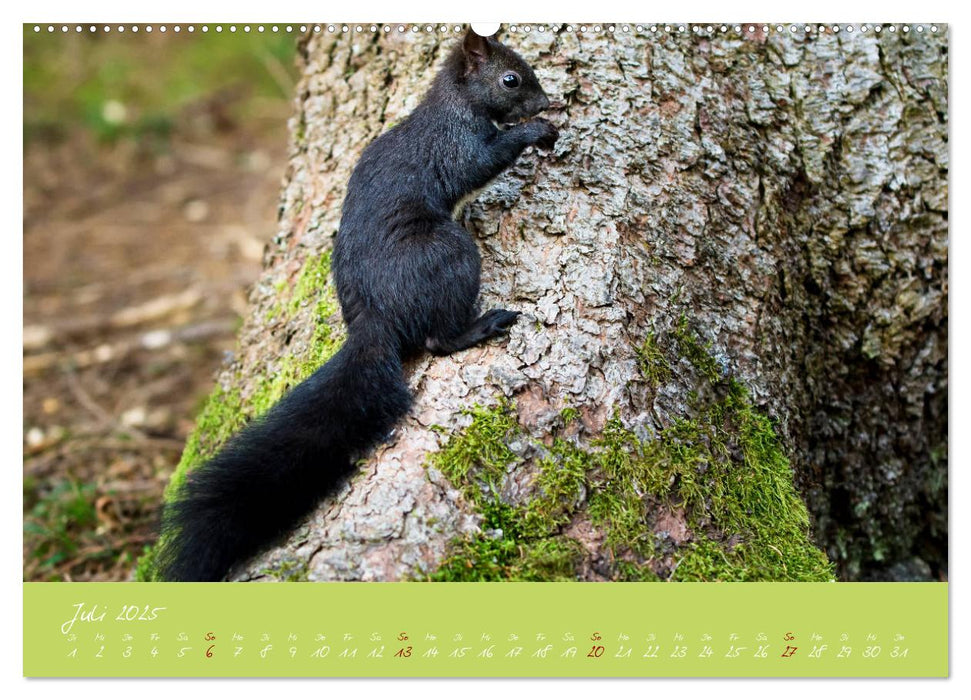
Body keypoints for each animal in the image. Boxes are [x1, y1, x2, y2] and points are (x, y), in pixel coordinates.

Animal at [156, 30, 560, 584]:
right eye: (511, 79)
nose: (545, 103)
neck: (454, 107)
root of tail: (373, 319)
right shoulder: (453, 146)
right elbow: (479, 164)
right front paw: (537, 131)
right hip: (445, 252)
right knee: (437, 339)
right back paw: (481, 326)